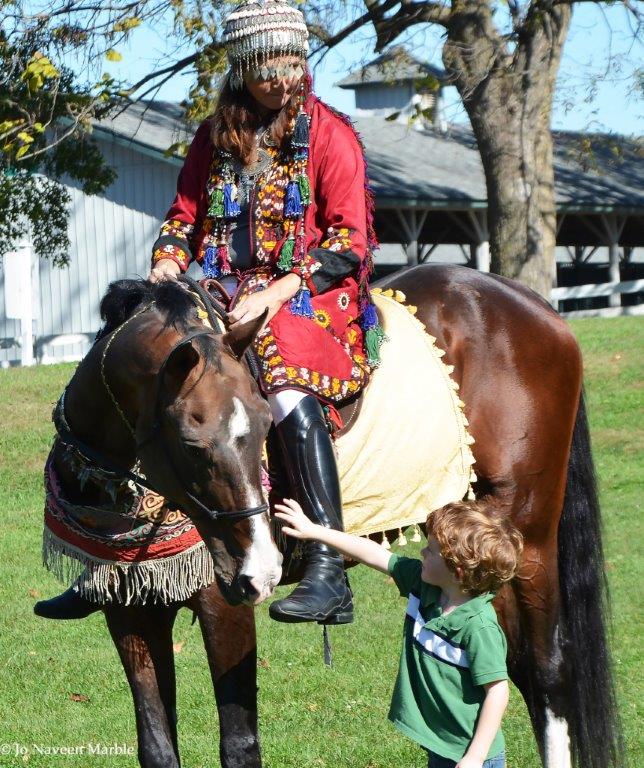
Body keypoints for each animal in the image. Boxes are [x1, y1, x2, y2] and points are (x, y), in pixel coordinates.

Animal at [39, 266, 620, 768]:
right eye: (191, 443)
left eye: (264, 423)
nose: (261, 571)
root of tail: (533, 306)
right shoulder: (129, 608)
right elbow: (157, 746)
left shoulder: (223, 604)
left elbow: (240, 744)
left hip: (529, 541)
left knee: (548, 671)